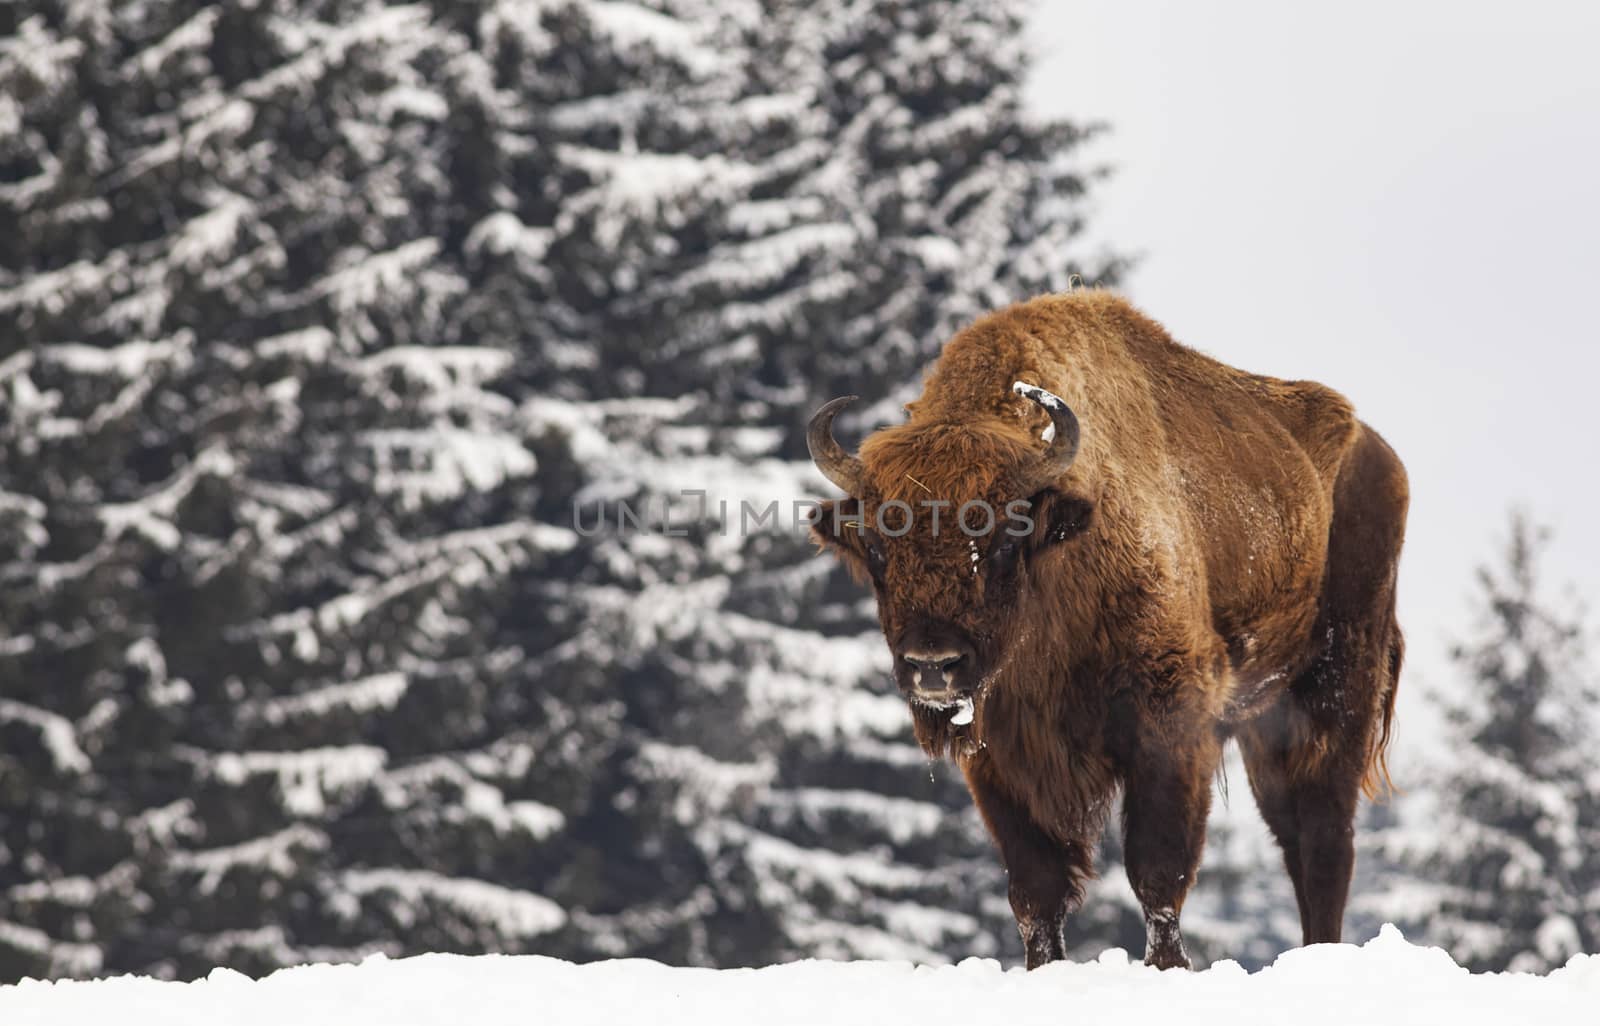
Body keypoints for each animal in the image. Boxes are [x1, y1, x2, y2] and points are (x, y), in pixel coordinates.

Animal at [806, 289, 1408, 966]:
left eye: (1004, 537)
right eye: (878, 547)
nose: (932, 665)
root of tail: (1378, 455)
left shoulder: (1168, 728)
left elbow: (1157, 871)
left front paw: (1168, 967)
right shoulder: (1001, 762)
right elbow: (1035, 892)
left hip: (1337, 690)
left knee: (1327, 839)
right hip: (1266, 723)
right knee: (1296, 837)